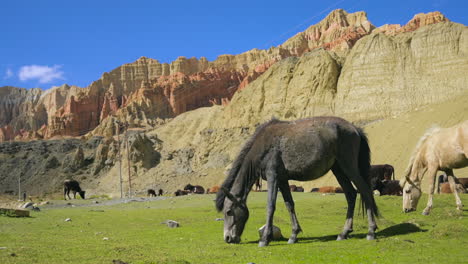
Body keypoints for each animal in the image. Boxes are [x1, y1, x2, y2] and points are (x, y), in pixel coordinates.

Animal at [216, 116, 380, 246]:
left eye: (228, 211)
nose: (228, 238)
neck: (263, 145)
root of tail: (355, 128)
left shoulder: (273, 177)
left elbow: (270, 206)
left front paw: (265, 239)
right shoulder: (282, 180)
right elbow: (289, 205)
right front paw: (294, 235)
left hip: (349, 167)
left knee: (365, 191)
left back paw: (371, 231)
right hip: (338, 170)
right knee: (351, 194)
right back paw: (344, 233)